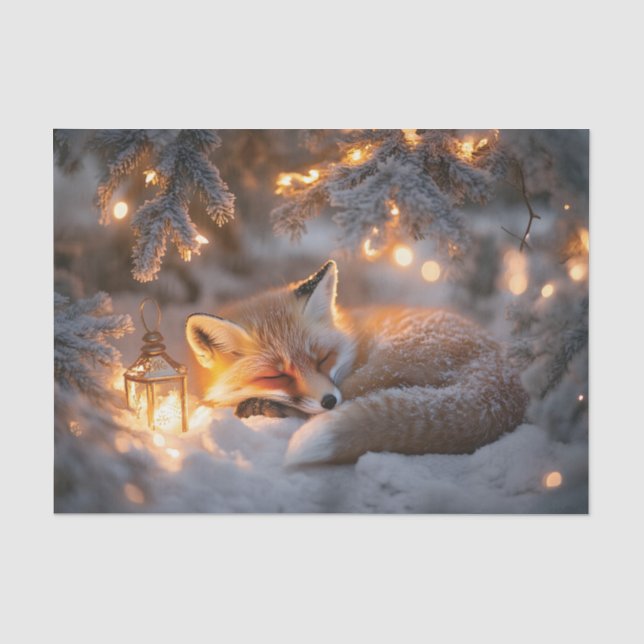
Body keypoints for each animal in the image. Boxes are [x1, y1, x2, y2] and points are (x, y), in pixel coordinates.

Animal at [185, 260, 528, 466]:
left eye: (322, 359)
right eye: (275, 376)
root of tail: (504, 372)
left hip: (384, 365)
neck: (351, 329)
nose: (328, 400)